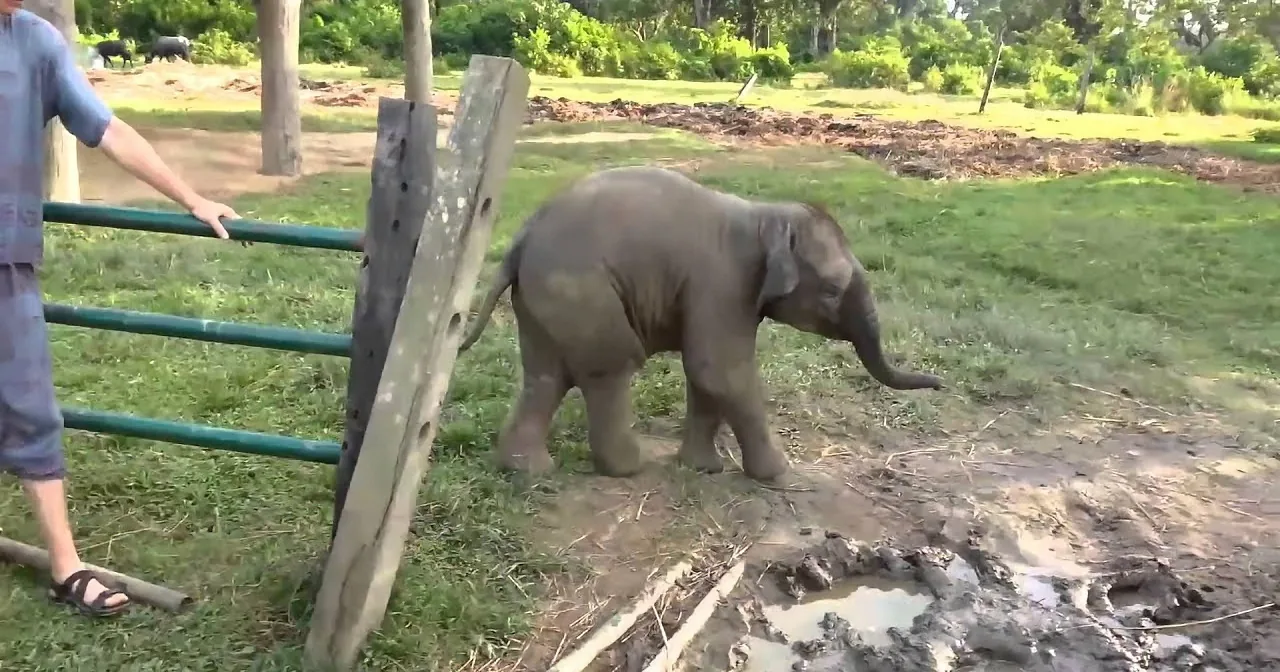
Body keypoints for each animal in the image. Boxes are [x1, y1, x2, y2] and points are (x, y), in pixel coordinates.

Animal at [458, 166, 943, 483]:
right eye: (831, 290)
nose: (940, 383)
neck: (765, 216)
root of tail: (522, 238)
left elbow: (706, 377)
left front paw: (703, 469)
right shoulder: (724, 283)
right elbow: (720, 372)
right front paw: (780, 475)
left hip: (543, 299)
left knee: (545, 375)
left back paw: (528, 470)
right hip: (582, 292)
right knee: (611, 366)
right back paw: (628, 468)